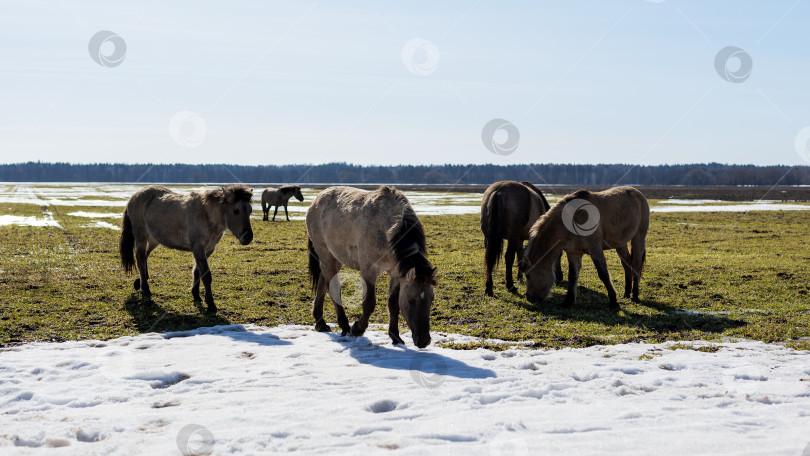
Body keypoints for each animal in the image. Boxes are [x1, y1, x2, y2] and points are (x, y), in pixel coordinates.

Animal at [119, 185, 254, 313]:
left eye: (250, 210)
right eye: (236, 211)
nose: (248, 237)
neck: (206, 215)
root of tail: (134, 196)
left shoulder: (208, 249)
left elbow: (197, 271)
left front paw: (196, 295)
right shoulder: (198, 248)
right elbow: (206, 275)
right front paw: (211, 304)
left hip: (154, 239)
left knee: (145, 257)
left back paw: (140, 281)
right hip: (141, 236)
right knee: (140, 258)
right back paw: (146, 290)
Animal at [306, 185, 437, 348]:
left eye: (431, 300)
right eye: (411, 300)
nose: (424, 341)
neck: (386, 230)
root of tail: (317, 200)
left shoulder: (396, 273)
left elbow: (393, 304)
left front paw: (395, 336)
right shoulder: (369, 271)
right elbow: (369, 303)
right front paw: (357, 329)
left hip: (335, 259)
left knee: (323, 283)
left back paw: (320, 323)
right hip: (326, 256)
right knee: (333, 288)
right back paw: (344, 326)